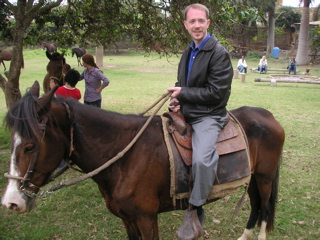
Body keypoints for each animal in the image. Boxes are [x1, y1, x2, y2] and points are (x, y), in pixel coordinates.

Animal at [0, 81, 284, 239]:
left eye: (30, 146)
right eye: (13, 141)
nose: (11, 202)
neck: (125, 158)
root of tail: (269, 116)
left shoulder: (147, 218)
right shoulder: (127, 218)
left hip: (265, 178)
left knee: (265, 207)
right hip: (253, 178)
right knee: (256, 206)